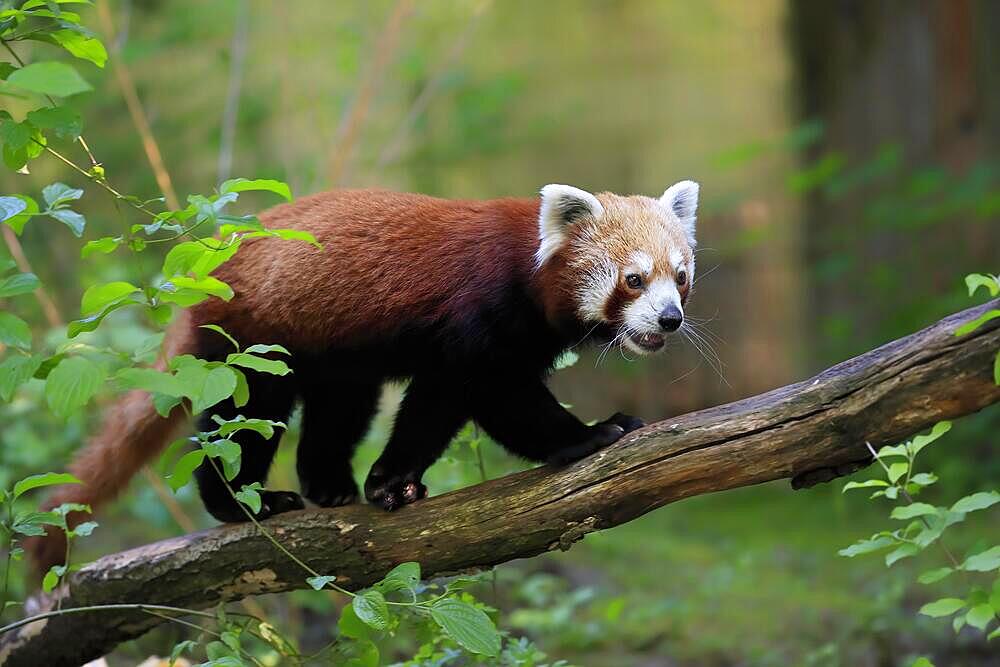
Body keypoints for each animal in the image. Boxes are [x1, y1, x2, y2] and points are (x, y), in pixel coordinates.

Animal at [31, 181, 704, 576]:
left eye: (681, 276)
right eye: (633, 280)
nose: (669, 319)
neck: (526, 268)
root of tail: (205, 268)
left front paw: (385, 482)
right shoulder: (477, 321)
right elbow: (482, 399)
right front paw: (591, 433)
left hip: (334, 352)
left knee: (339, 408)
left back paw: (328, 485)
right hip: (253, 341)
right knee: (243, 420)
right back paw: (243, 502)